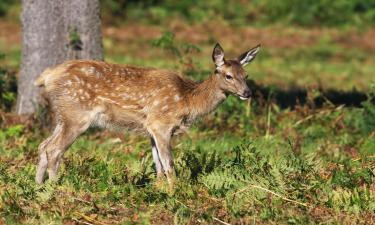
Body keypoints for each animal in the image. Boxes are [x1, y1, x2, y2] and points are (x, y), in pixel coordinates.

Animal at [35, 43, 262, 185]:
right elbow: (169, 164)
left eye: (246, 75)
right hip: (77, 114)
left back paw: (38, 187)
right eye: (228, 76)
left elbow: (158, 165)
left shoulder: (151, 127)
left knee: (43, 145)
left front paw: (160, 190)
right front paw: (176, 192)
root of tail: (48, 76)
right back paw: (57, 188)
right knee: (54, 149)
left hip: (63, 115)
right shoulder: (162, 124)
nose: (247, 93)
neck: (187, 100)